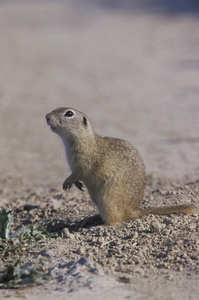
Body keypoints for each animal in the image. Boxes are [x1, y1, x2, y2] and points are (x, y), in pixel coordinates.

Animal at [45, 106, 196, 226]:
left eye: (69, 113)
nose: (46, 116)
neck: (82, 139)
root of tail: (134, 211)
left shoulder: (84, 161)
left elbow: (79, 173)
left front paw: (67, 182)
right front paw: (76, 184)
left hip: (107, 201)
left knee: (116, 221)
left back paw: (101, 226)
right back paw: (91, 218)